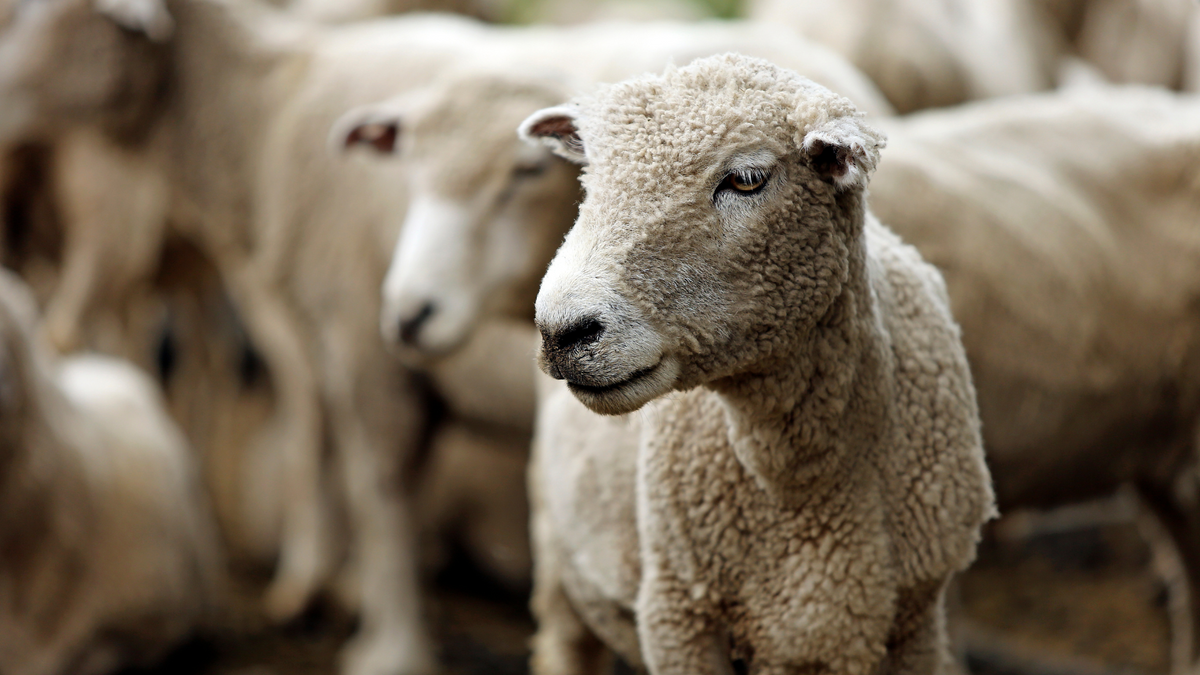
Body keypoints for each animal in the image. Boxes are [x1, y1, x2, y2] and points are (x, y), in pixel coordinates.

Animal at [519, 53, 995, 675]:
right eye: (590, 175)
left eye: (746, 179)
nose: (562, 330)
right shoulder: (677, 612)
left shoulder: (917, 619)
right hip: (557, 548)